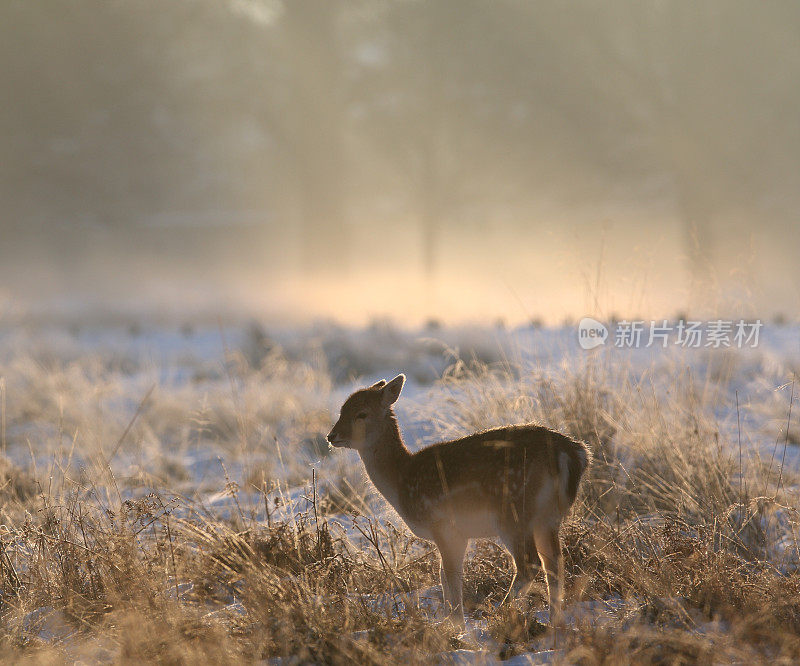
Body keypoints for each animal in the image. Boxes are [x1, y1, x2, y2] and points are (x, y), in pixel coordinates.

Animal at [326, 370, 592, 624]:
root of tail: (572, 453)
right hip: (548, 516)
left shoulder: (444, 525)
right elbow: (445, 576)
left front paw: (457, 627)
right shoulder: (458, 534)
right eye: (341, 409)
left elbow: (450, 575)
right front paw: (453, 625)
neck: (402, 480)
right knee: (555, 564)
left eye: (361, 413)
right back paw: (555, 624)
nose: (331, 435)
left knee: (529, 563)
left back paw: (500, 612)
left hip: (514, 511)